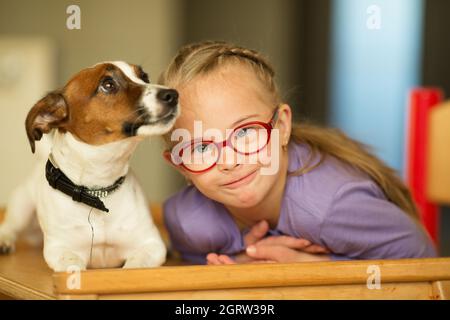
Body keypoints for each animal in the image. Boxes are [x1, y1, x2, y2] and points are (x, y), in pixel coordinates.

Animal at [0, 61, 179, 272]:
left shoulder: (151, 244)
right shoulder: (59, 249)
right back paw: (4, 240)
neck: (97, 191)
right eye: (108, 84)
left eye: (144, 76)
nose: (173, 94)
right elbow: (72, 265)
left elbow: (135, 266)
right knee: (10, 226)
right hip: (22, 209)